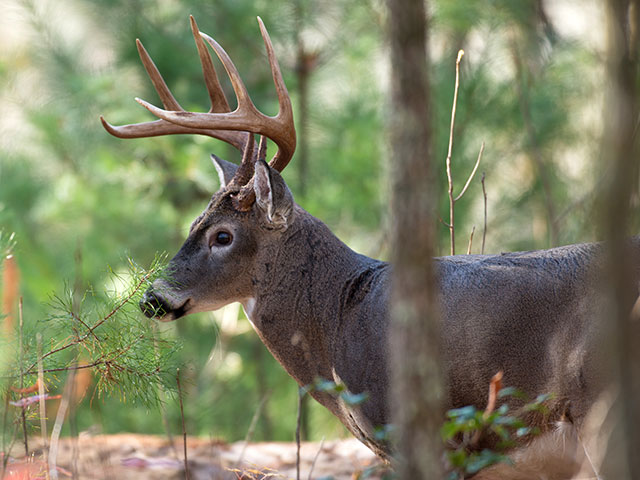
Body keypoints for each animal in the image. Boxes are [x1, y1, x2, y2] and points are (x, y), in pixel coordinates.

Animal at [102, 15, 640, 464]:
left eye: (222, 235)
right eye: (195, 221)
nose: (152, 297)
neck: (339, 314)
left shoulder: (418, 432)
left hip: (600, 409)